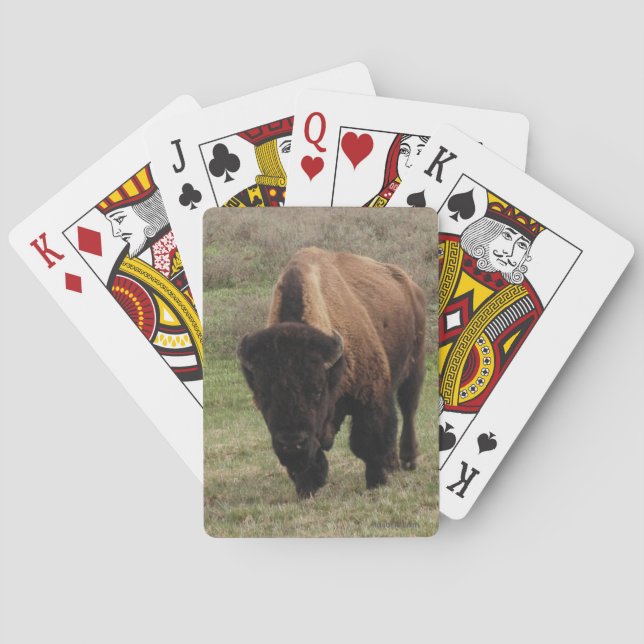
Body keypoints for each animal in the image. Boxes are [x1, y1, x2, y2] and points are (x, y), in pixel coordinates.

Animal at [238, 247, 426, 498]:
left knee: (408, 408)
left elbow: (367, 441)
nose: (291, 443)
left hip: (415, 364)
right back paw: (393, 464)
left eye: (317, 392)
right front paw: (307, 487)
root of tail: (411, 285)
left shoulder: (370, 395)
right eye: (263, 396)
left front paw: (376, 482)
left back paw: (407, 461)